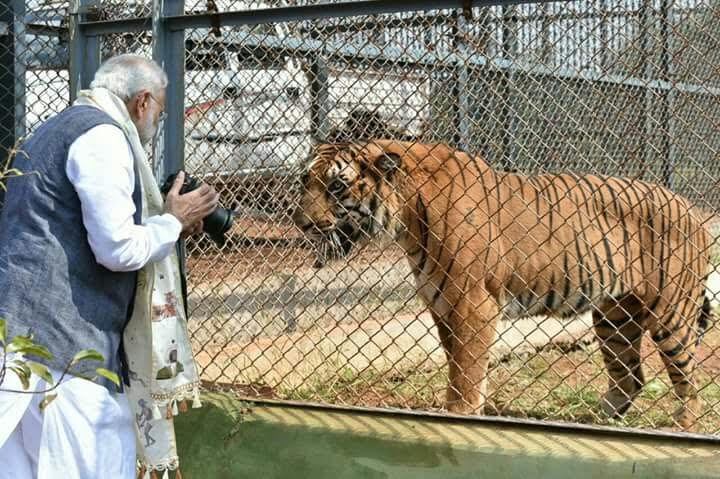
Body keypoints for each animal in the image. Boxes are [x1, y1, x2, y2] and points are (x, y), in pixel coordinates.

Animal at [292, 139, 713, 430]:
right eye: (305, 181)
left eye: (336, 187)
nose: (301, 223)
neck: (405, 220)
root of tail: (693, 208)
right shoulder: (442, 305)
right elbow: (461, 367)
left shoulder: (472, 304)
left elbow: (466, 372)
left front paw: (460, 417)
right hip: (615, 317)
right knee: (631, 377)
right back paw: (591, 422)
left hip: (671, 313)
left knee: (689, 380)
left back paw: (682, 427)